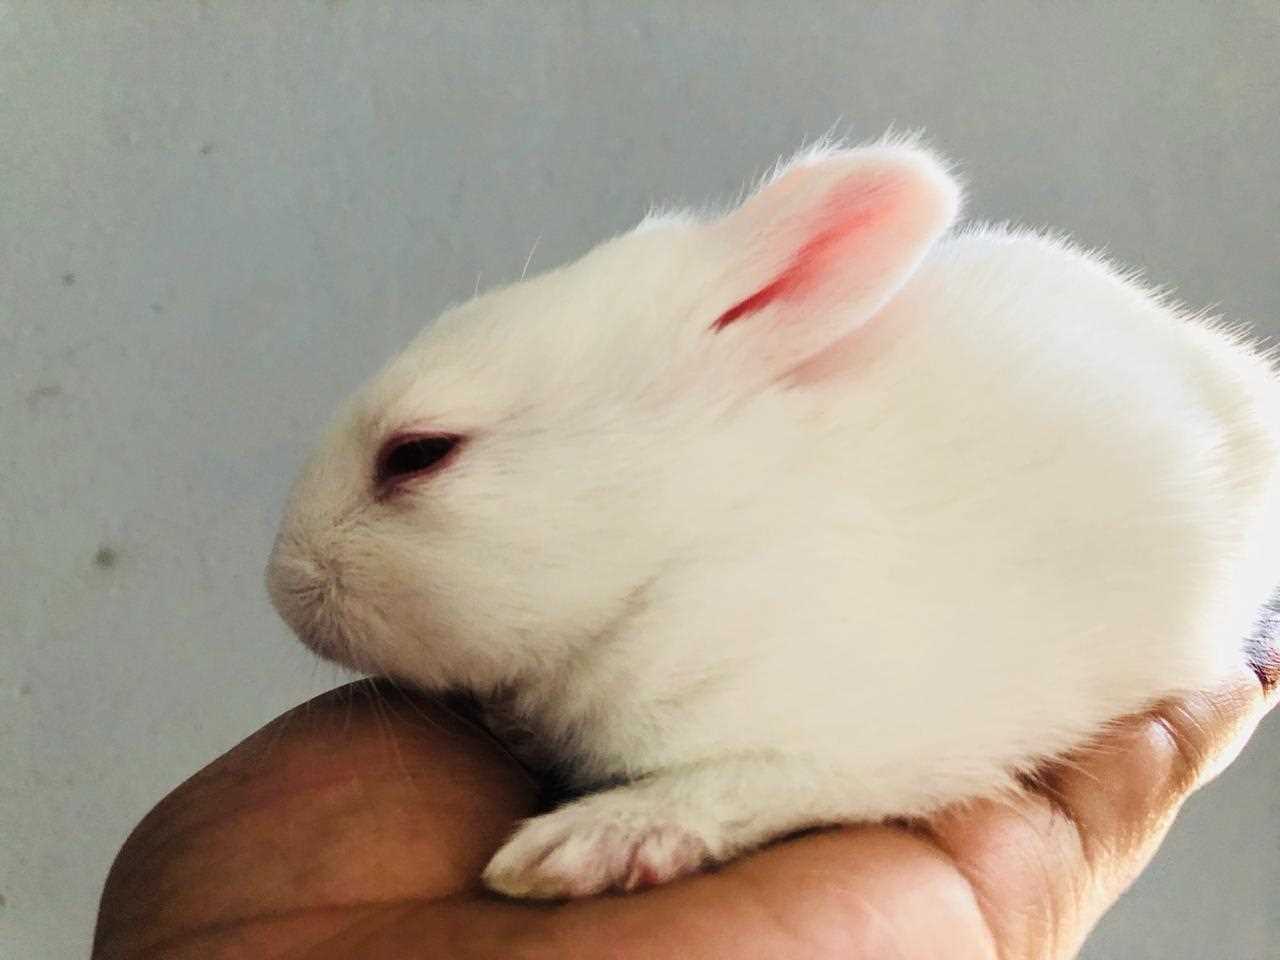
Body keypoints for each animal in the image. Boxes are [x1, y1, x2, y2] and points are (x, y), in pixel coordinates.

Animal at [266, 134, 1280, 900]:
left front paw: (581, 846)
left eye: (419, 454)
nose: (281, 582)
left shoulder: (853, 743)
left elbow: (732, 785)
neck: (680, 542)